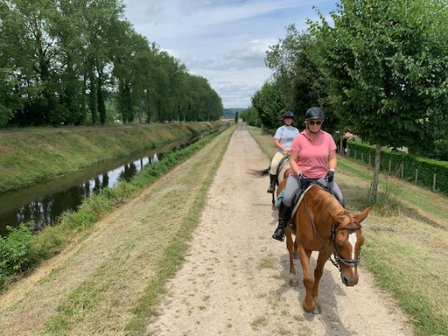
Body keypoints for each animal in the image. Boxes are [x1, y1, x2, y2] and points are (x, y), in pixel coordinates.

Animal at [284, 182, 372, 314]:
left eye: (362, 242)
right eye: (339, 242)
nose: (351, 280)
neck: (316, 215)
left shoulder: (326, 251)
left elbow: (318, 273)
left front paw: (315, 299)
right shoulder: (305, 249)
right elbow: (308, 279)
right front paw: (308, 305)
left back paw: (295, 253)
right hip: (287, 228)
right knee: (289, 247)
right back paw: (292, 274)